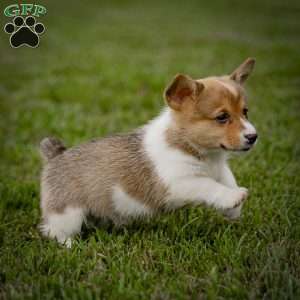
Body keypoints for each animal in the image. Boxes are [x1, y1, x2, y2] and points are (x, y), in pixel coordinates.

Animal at [38, 56, 258, 246]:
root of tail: (56, 155)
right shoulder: (180, 183)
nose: (253, 137)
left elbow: (228, 180)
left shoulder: (220, 169)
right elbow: (209, 186)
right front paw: (233, 198)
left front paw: (233, 209)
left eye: (245, 112)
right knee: (53, 231)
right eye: (222, 117)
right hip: (68, 212)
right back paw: (70, 245)